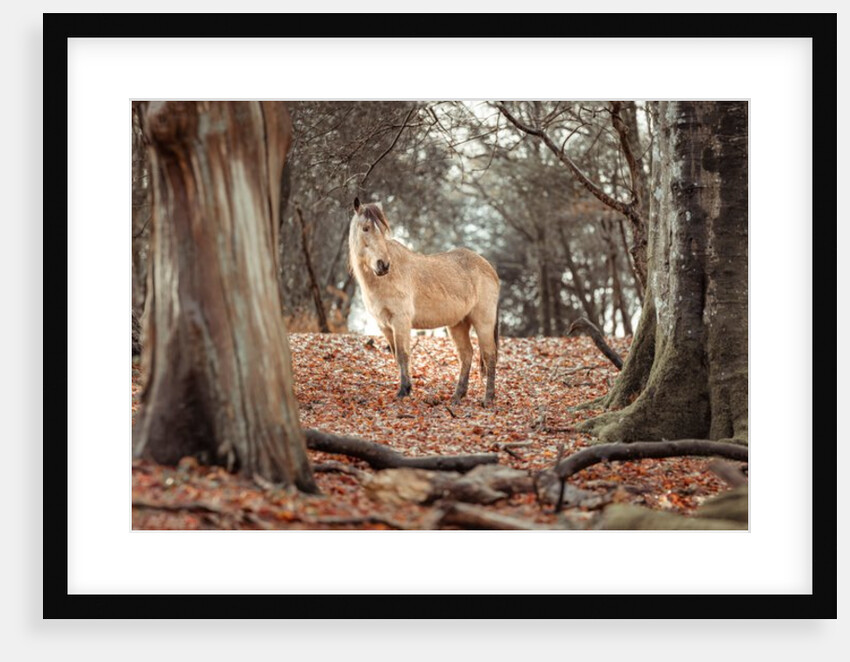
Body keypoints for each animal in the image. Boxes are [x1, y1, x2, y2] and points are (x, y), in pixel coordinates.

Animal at [348, 197, 501, 405]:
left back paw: (488, 399)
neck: (386, 278)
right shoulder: (384, 326)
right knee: (466, 355)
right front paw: (405, 388)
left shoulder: (401, 321)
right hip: (458, 324)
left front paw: (404, 391)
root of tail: (489, 268)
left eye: (383, 230)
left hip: (483, 322)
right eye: (365, 228)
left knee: (489, 355)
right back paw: (457, 396)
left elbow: (403, 354)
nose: (383, 265)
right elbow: (396, 355)